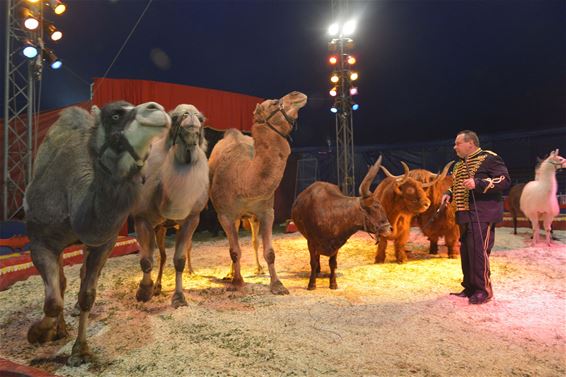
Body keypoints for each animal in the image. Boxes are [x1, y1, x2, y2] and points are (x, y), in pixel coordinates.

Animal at [23, 100, 171, 364]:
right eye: (115, 115)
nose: (156, 109)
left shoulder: (104, 243)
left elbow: (87, 296)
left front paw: (80, 350)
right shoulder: (40, 241)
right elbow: (52, 300)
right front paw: (39, 333)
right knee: (60, 282)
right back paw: (59, 328)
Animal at [133, 103, 211, 306]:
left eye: (200, 118)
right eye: (175, 117)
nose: (189, 115)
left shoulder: (191, 219)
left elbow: (179, 260)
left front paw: (179, 297)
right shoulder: (142, 218)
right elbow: (146, 260)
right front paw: (144, 291)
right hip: (159, 227)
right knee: (160, 255)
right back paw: (157, 287)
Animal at [209, 91, 308, 294]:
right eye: (274, 103)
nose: (297, 94)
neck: (244, 179)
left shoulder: (266, 211)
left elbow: (269, 252)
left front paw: (277, 284)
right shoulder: (224, 215)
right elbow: (234, 251)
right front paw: (237, 282)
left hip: (251, 216)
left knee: (253, 241)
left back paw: (257, 268)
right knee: (233, 244)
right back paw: (230, 274)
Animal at [290, 155, 392, 288]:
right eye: (375, 206)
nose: (389, 228)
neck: (331, 214)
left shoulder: (336, 244)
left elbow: (332, 263)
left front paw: (333, 283)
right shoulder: (311, 241)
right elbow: (312, 261)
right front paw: (312, 283)